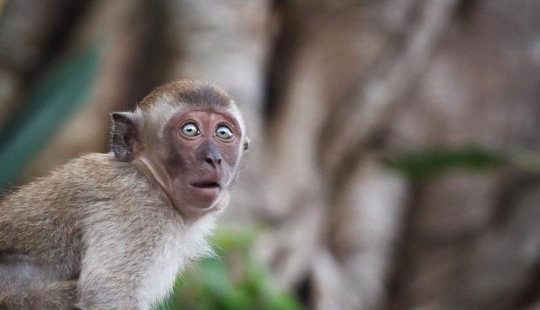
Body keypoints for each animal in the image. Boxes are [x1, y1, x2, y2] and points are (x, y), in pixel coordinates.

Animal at [0, 80, 250, 310]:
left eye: (223, 133)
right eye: (190, 130)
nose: (214, 158)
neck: (151, 178)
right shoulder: (140, 209)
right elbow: (107, 290)